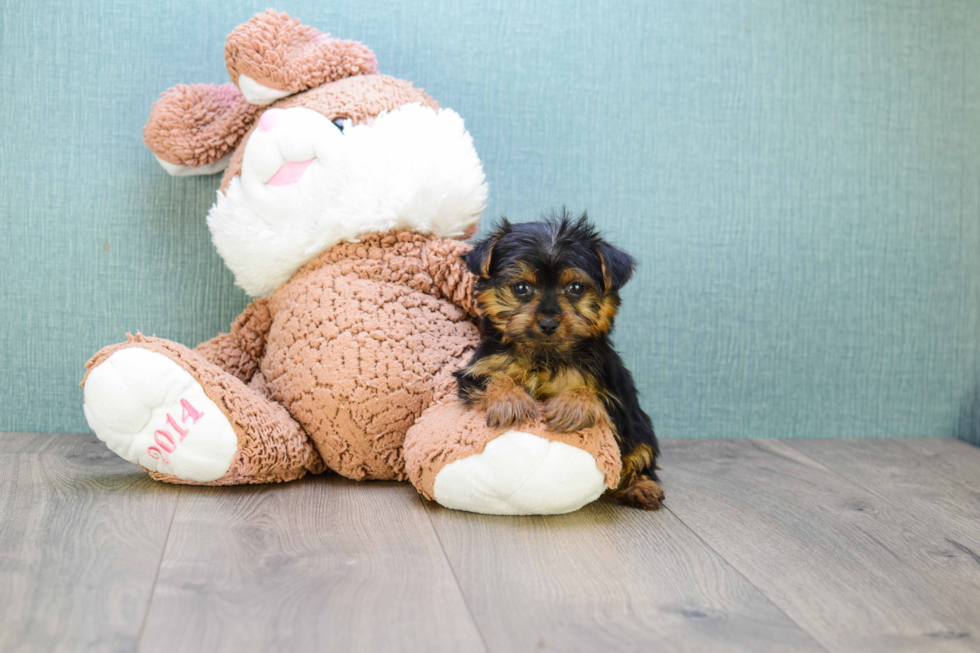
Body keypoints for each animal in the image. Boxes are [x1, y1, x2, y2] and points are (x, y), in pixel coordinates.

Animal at [456, 210, 664, 510]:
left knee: (642, 453)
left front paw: (572, 405)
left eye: (575, 288)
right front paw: (511, 400)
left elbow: (596, 396)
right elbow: (493, 378)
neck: (544, 355)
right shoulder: (474, 371)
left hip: (641, 428)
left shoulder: (619, 399)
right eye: (521, 288)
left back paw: (642, 487)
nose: (548, 322)